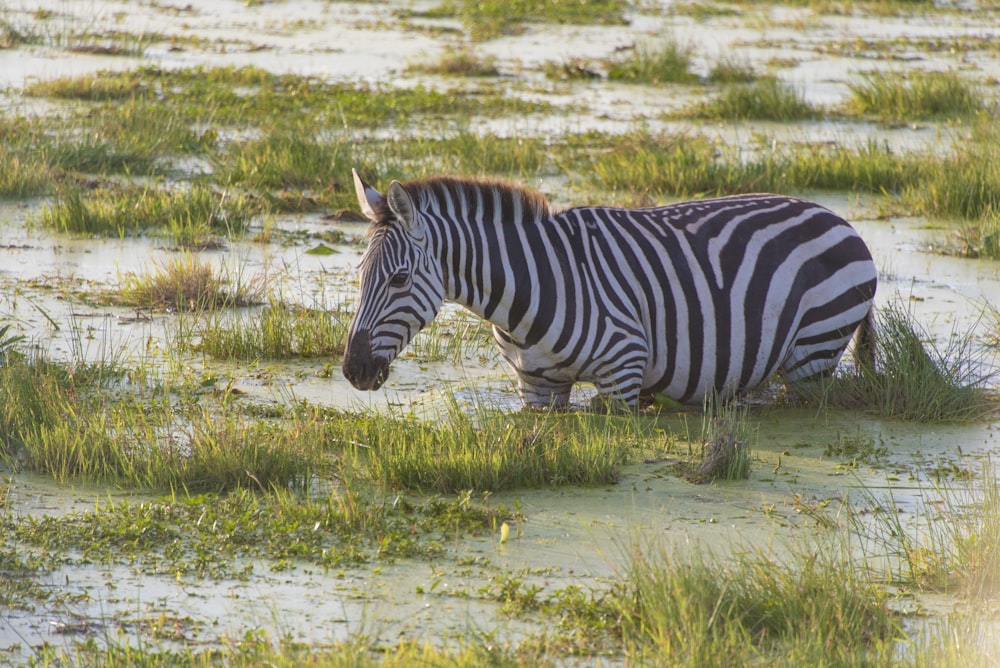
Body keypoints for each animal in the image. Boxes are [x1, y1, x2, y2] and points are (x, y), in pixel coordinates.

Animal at [342, 170, 876, 410]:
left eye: (399, 279)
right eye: (360, 274)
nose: (352, 370)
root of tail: (839, 219)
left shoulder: (624, 372)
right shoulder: (537, 386)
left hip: (812, 357)